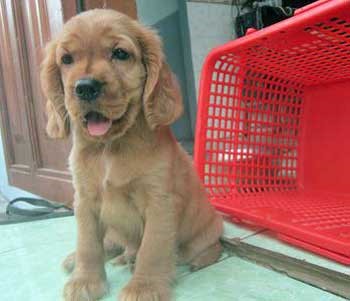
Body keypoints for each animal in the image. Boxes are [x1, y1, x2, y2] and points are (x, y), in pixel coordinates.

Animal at [40, 9, 221, 300]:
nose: (85, 87)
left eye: (120, 53)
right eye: (66, 59)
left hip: (209, 229)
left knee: (209, 245)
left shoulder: (159, 201)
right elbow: (88, 244)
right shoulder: (85, 201)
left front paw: (143, 287)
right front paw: (85, 280)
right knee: (115, 243)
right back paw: (95, 257)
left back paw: (196, 259)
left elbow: (153, 249)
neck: (109, 147)